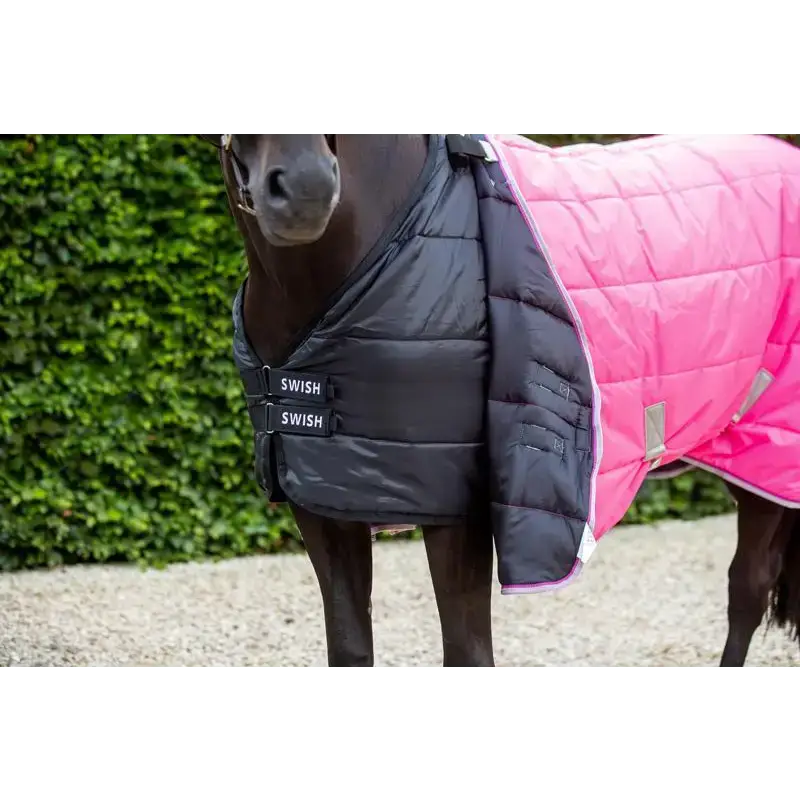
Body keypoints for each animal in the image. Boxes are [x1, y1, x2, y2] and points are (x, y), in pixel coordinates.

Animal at [194, 128, 800, 673]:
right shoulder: (321, 500)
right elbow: (349, 649)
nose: (305, 189)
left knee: (746, 588)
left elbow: (467, 654)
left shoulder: (456, 507)